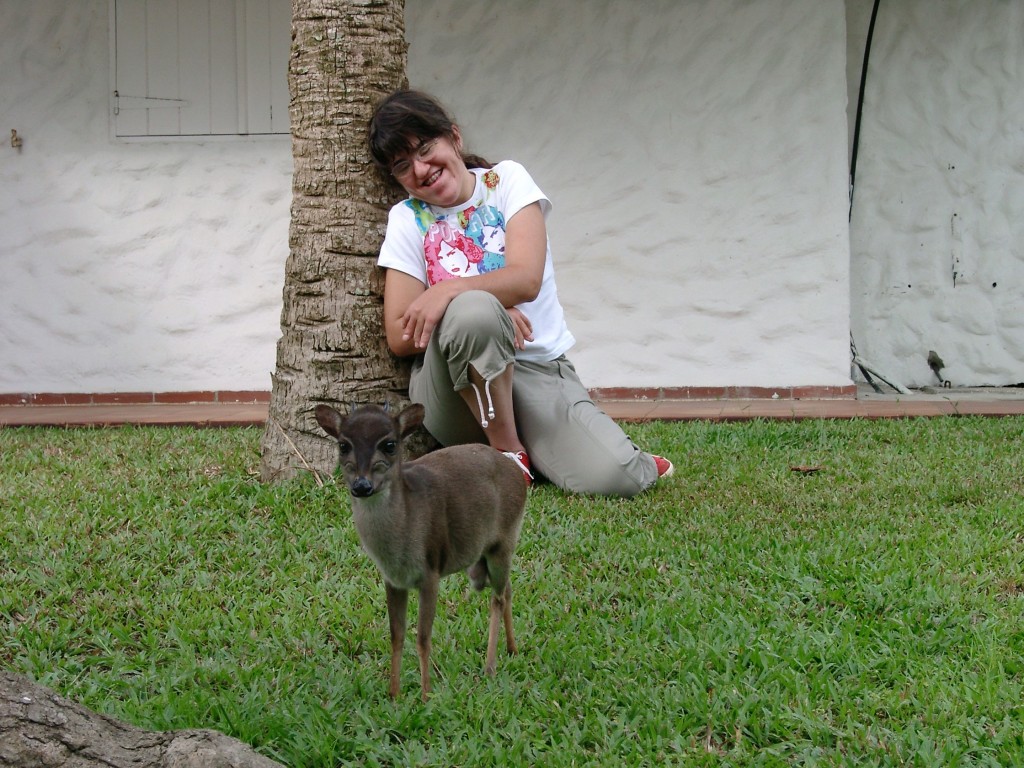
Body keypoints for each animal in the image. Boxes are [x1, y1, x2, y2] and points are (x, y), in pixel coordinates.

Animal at [315, 403, 528, 704]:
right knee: (507, 588)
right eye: (343, 445)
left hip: (505, 537)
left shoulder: (431, 570)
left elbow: (423, 637)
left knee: (497, 598)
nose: (362, 486)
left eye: (390, 444)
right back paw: (512, 649)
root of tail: (516, 470)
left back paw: (489, 667)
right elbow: (396, 634)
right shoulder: (393, 580)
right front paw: (394, 694)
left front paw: (426, 695)